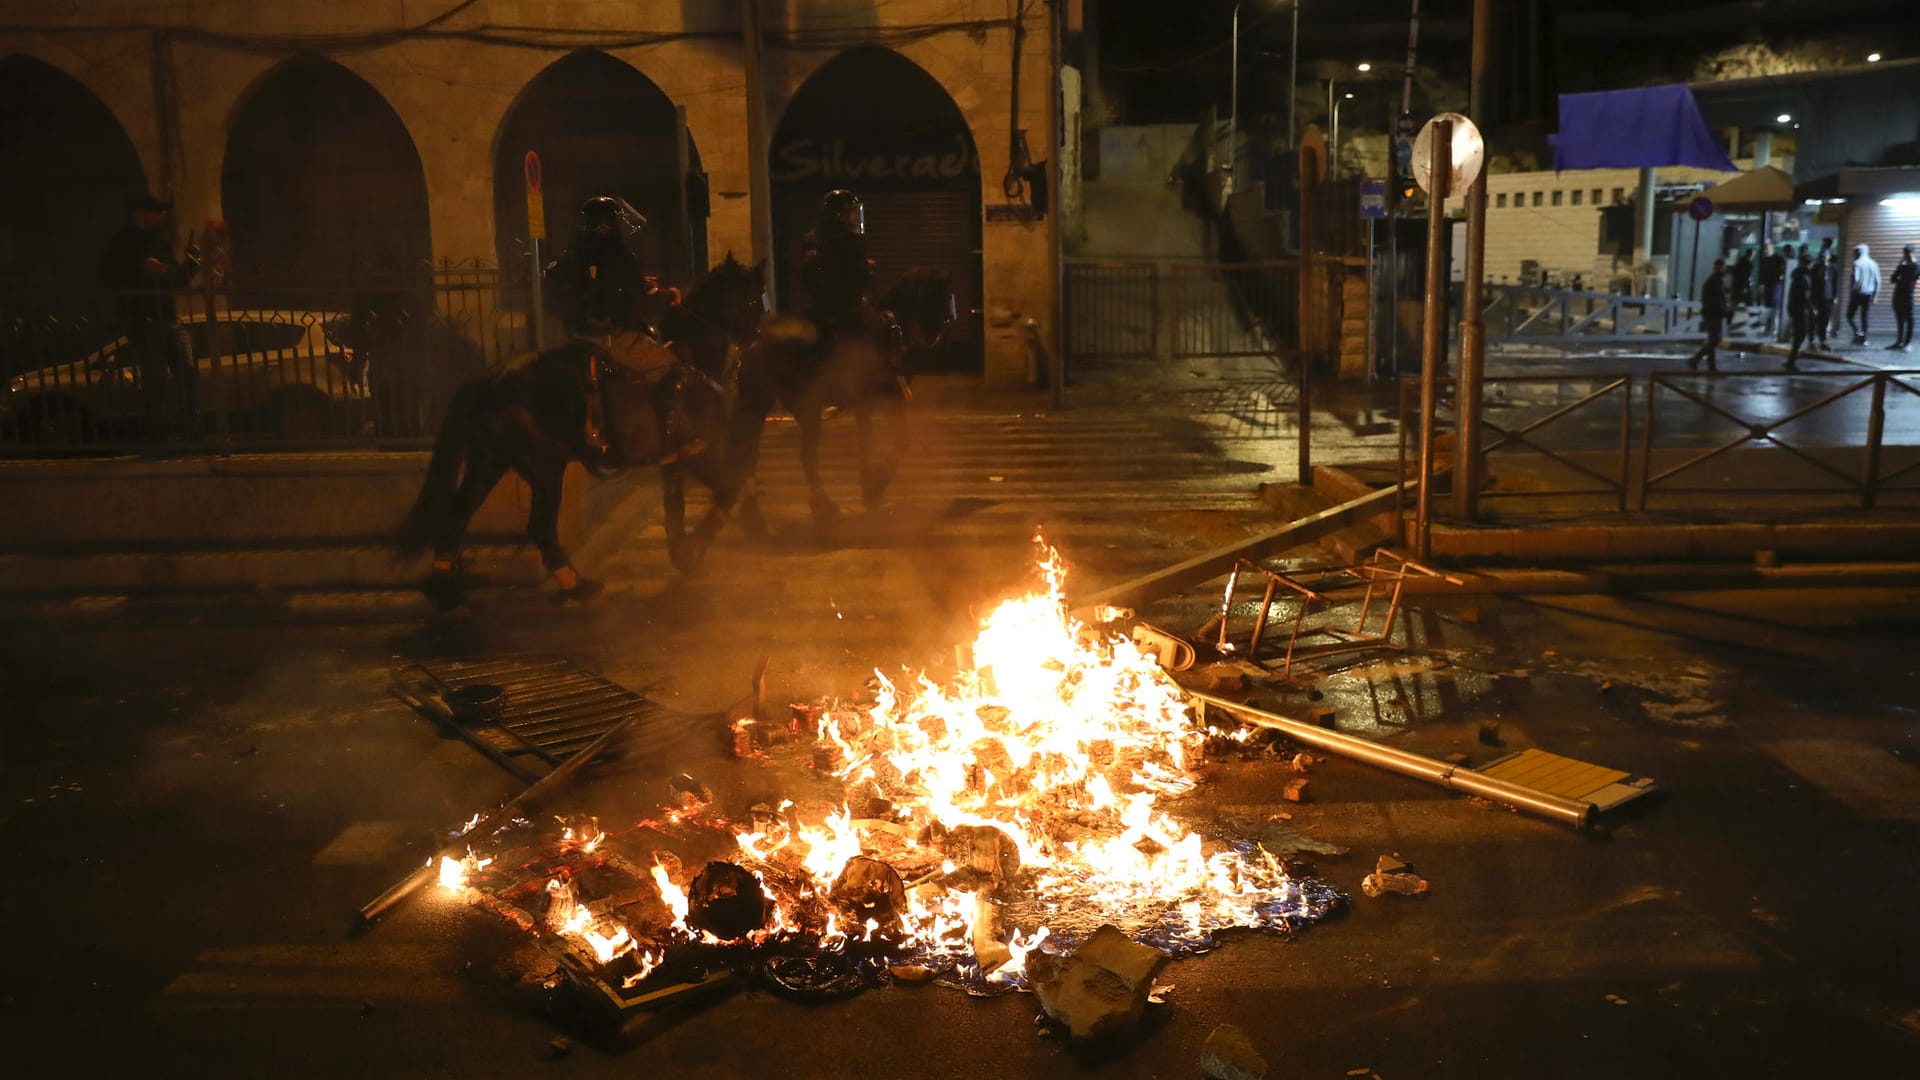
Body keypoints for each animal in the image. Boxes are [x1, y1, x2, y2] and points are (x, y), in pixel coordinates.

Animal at [721, 269, 956, 530]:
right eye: (941, 294)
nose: (939, 332)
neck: (890, 327)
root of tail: (750, 347)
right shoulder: (867, 403)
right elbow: (871, 443)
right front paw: (873, 487)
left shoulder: (887, 402)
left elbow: (901, 440)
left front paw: (876, 484)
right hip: (802, 408)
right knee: (803, 457)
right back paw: (821, 506)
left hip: (767, 408)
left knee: (750, 454)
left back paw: (756, 512)